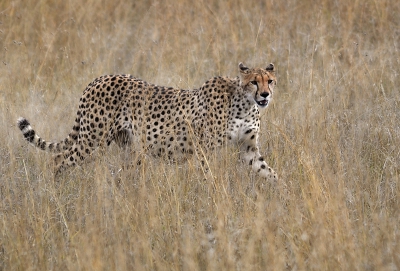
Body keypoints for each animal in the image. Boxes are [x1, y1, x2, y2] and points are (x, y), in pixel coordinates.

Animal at [16, 61, 278, 181]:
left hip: (127, 147)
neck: (245, 103)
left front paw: (282, 195)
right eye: (254, 82)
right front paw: (213, 194)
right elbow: (208, 175)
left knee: (121, 172)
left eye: (270, 80)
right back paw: (57, 190)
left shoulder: (248, 148)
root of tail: (98, 78)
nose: (265, 95)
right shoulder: (204, 148)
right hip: (93, 140)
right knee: (59, 159)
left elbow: (269, 171)